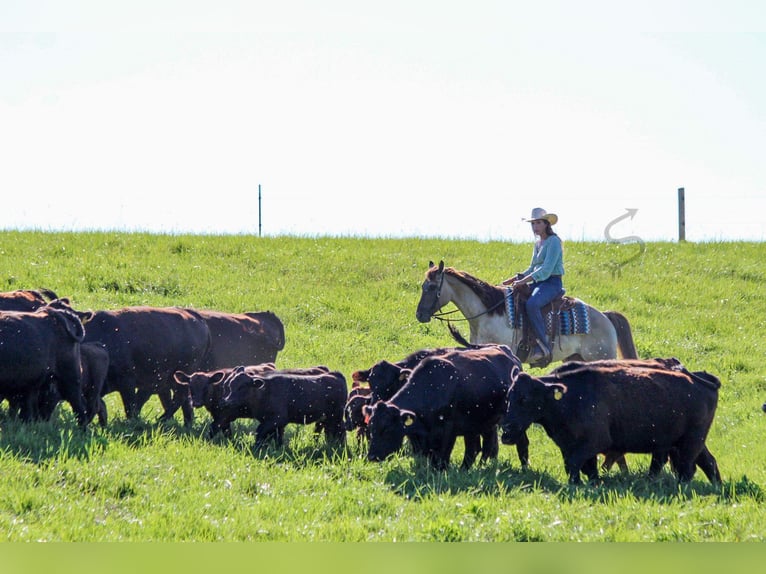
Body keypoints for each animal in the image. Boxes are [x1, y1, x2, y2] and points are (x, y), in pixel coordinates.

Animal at [218, 368, 346, 450]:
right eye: (229, 385)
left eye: (242, 387)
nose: (227, 401)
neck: (264, 392)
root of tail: (335, 374)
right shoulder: (274, 422)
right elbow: (277, 436)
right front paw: (277, 448)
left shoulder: (278, 419)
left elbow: (260, 431)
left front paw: (257, 447)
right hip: (325, 419)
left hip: (336, 417)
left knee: (341, 431)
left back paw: (339, 446)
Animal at [364, 346, 520, 472]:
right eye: (371, 427)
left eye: (387, 429)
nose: (372, 456)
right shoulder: (418, 436)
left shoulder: (448, 430)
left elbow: (442, 457)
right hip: (478, 425)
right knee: (476, 449)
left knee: (486, 447)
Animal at [416, 262, 640, 368]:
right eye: (423, 286)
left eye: (433, 287)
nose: (419, 315)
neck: (488, 314)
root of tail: (605, 317)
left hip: (601, 357)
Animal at [500, 362, 724, 484]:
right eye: (509, 396)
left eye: (525, 399)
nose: (507, 429)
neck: (570, 396)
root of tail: (701, 379)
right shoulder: (568, 445)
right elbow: (582, 467)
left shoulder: (595, 442)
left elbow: (575, 464)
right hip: (689, 443)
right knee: (708, 462)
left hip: (691, 442)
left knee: (687, 469)